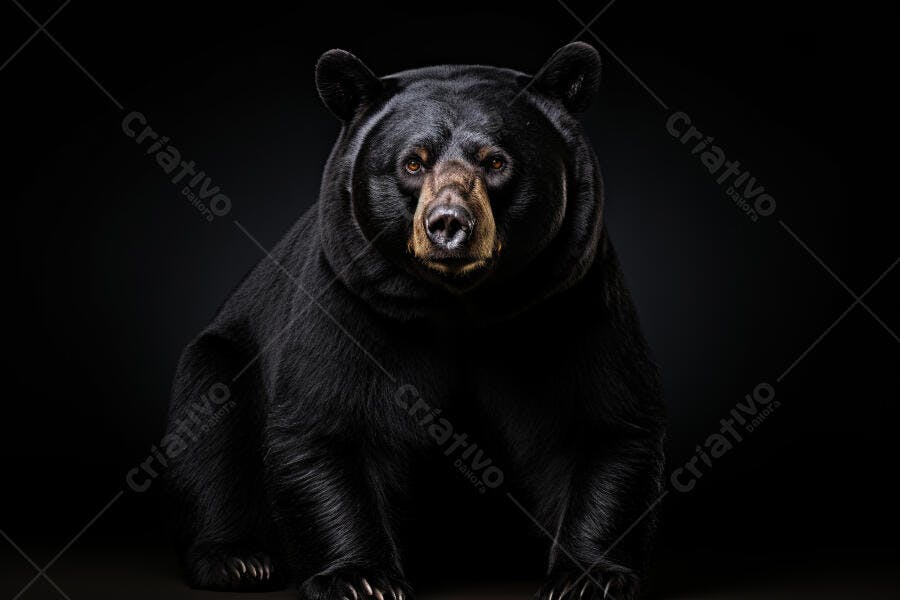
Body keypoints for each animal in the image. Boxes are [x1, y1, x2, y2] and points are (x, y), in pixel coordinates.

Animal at [163, 42, 665, 600]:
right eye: (412, 163)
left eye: (496, 161)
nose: (448, 224)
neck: (461, 306)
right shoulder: (349, 300)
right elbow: (325, 423)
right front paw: (359, 578)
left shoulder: (574, 298)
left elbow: (607, 421)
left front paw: (587, 578)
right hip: (218, 357)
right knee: (210, 433)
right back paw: (238, 559)